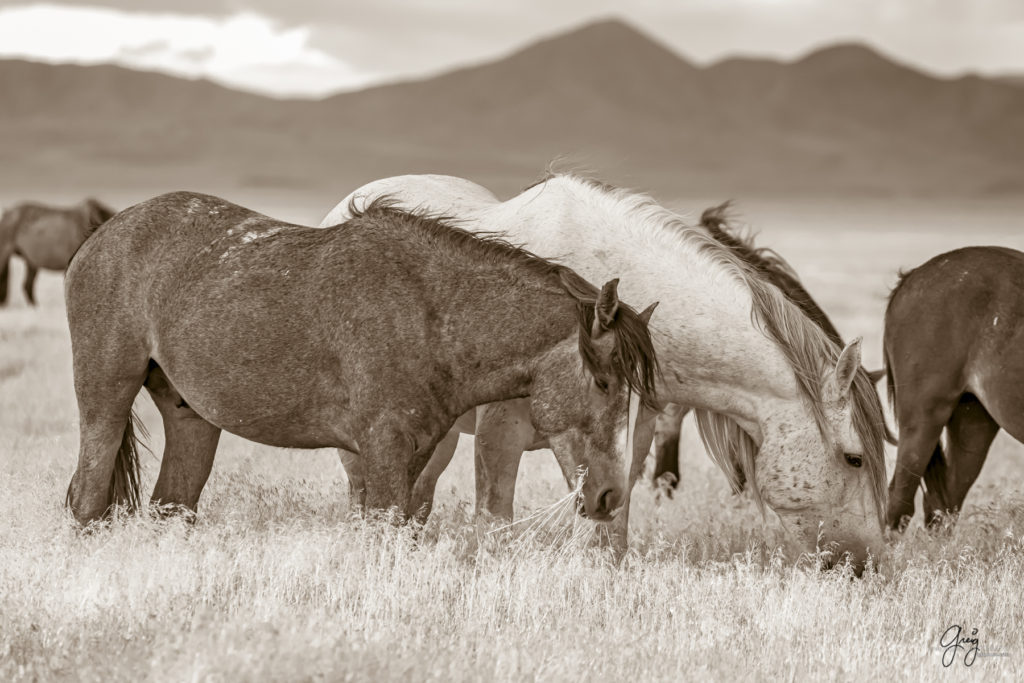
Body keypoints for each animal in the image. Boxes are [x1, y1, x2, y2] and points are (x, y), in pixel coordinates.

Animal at [64, 192, 659, 528]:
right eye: (604, 383)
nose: (610, 496)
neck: (430, 316)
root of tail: (99, 237)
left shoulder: (415, 455)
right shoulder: (384, 450)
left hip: (192, 417)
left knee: (173, 506)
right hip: (105, 400)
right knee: (88, 501)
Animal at [323, 174, 892, 569]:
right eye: (856, 458)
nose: (866, 565)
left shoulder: (630, 436)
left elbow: (612, 518)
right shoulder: (499, 433)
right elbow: (493, 520)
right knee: (368, 495)